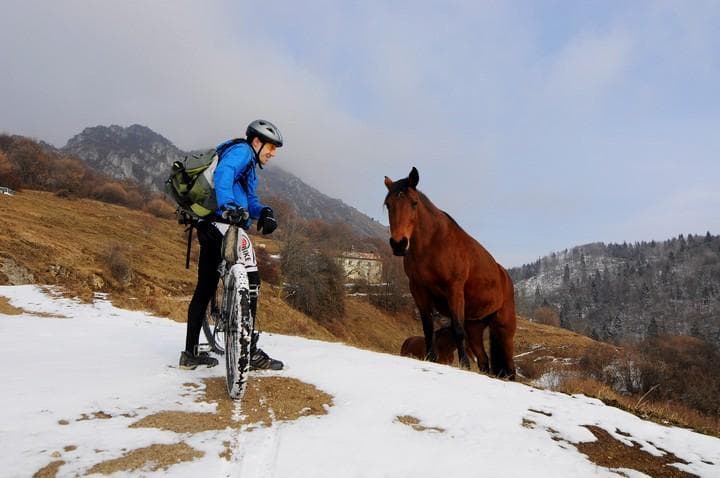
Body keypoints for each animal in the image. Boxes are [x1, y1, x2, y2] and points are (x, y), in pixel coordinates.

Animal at [386, 166, 516, 380]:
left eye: (414, 203)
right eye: (388, 205)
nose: (399, 244)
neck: (433, 244)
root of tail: (505, 277)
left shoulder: (454, 290)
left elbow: (457, 328)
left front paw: (464, 365)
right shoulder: (418, 290)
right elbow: (428, 327)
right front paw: (430, 358)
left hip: (504, 328)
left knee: (510, 366)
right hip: (476, 327)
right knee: (484, 361)